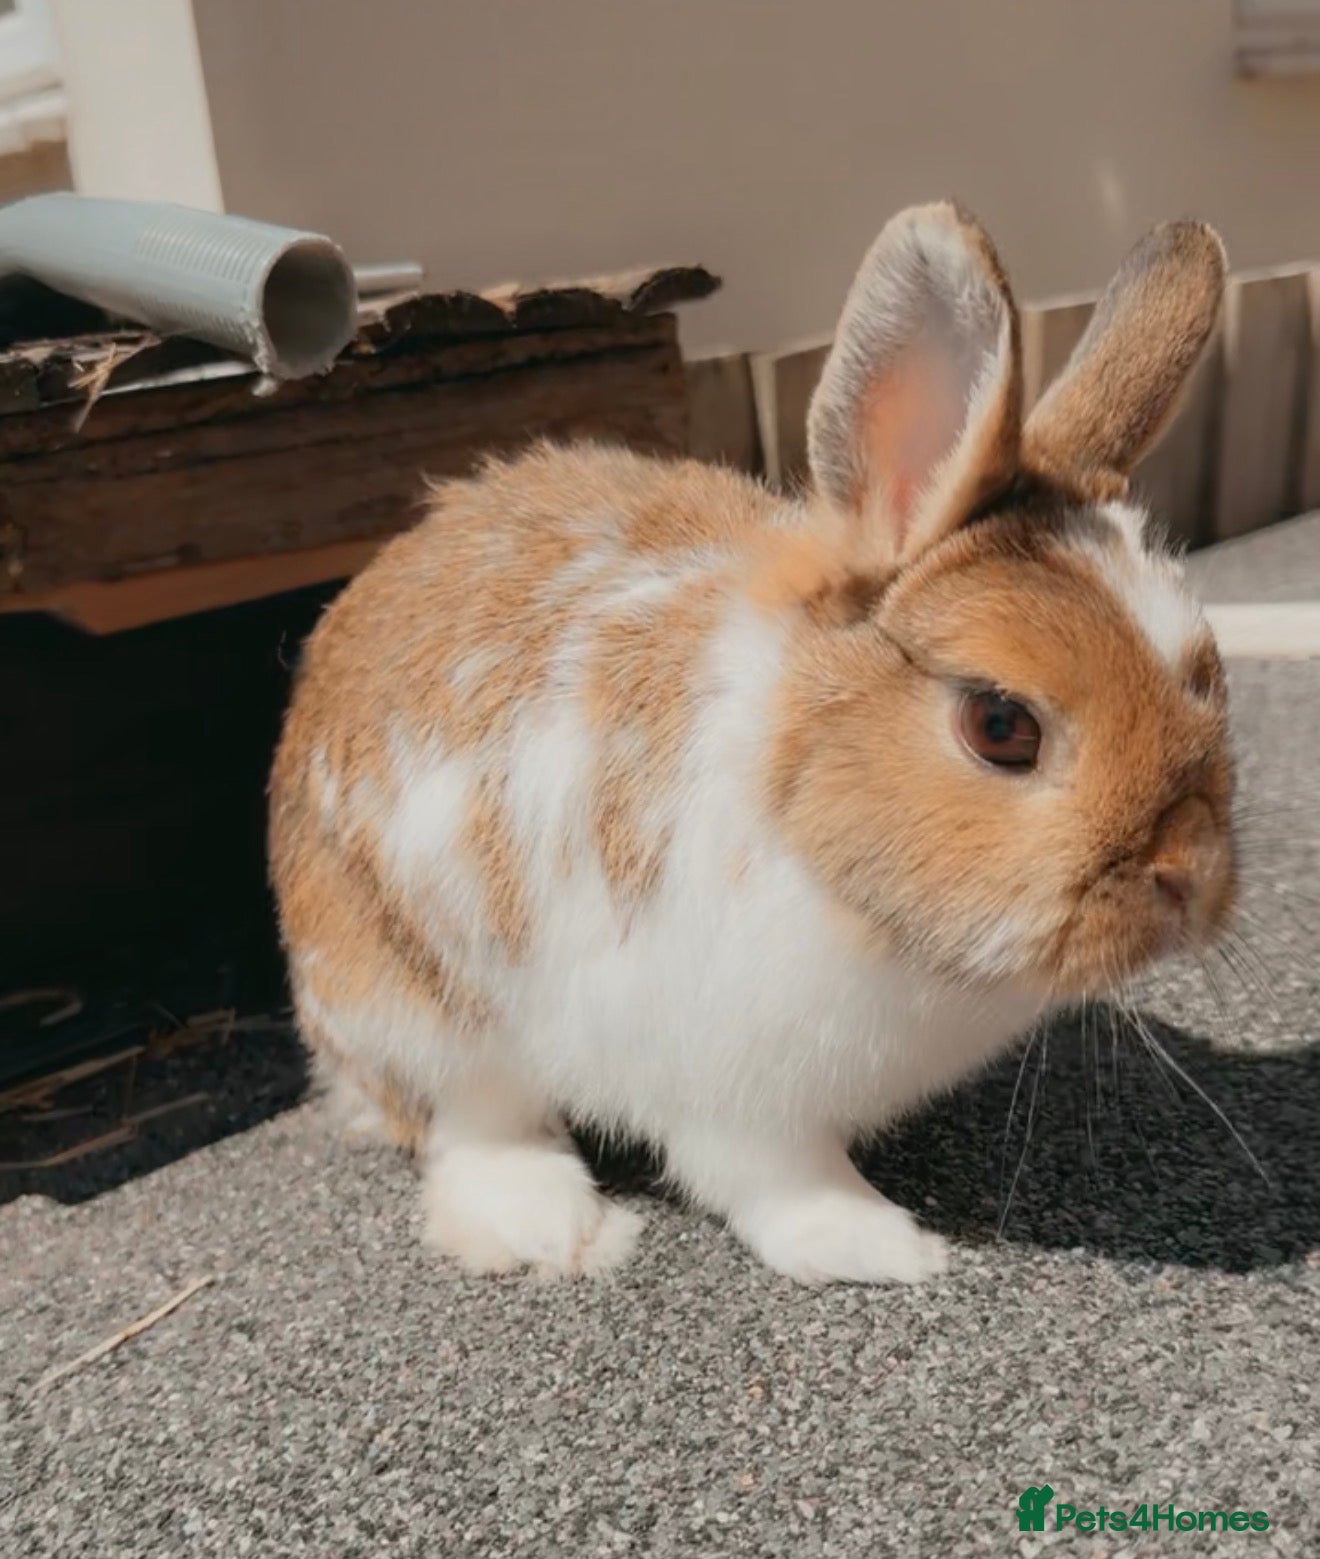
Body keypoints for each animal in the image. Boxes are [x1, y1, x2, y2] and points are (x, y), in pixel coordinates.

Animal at [269, 202, 1235, 1285]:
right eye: (1001, 726)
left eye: (1206, 673)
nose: (1191, 872)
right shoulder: (729, 1088)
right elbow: (781, 1182)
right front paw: (888, 1247)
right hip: (416, 1000)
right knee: (472, 1122)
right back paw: (553, 1229)